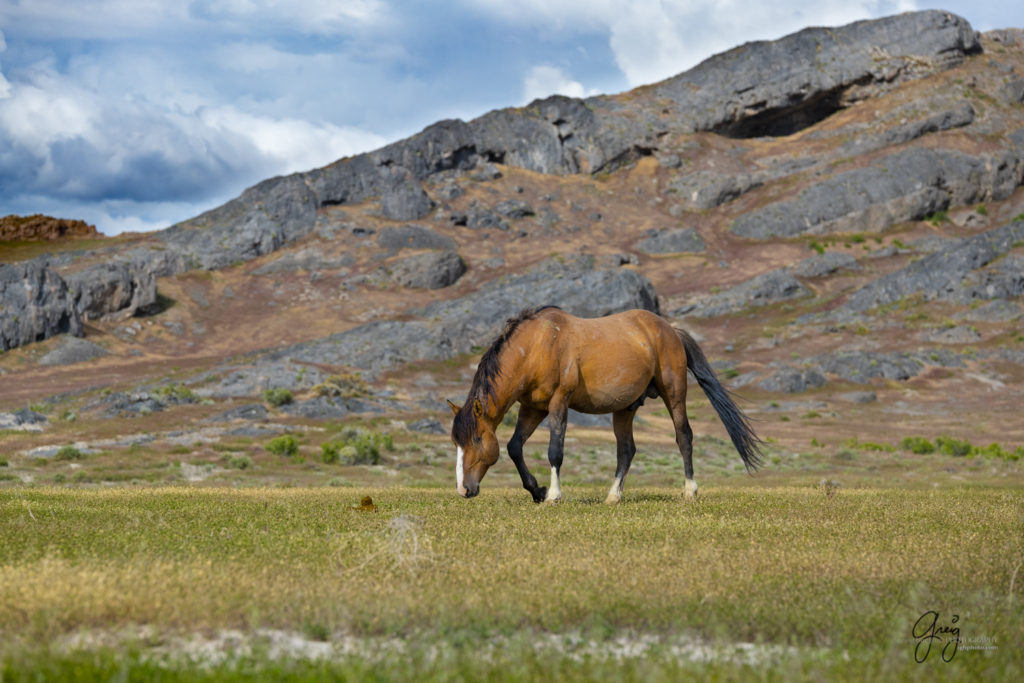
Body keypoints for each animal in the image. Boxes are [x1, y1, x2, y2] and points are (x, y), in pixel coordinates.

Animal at [448, 307, 761, 505]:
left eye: (477, 439)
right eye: (457, 443)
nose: (463, 489)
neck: (538, 347)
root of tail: (668, 329)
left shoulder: (559, 401)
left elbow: (555, 451)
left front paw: (553, 495)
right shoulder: (533, 408)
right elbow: (514, 447)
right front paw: (537, 490)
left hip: (675, 394)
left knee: (684, 437)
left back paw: (690, 491)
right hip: (625, 408)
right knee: (626, 450)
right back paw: (613, 497)